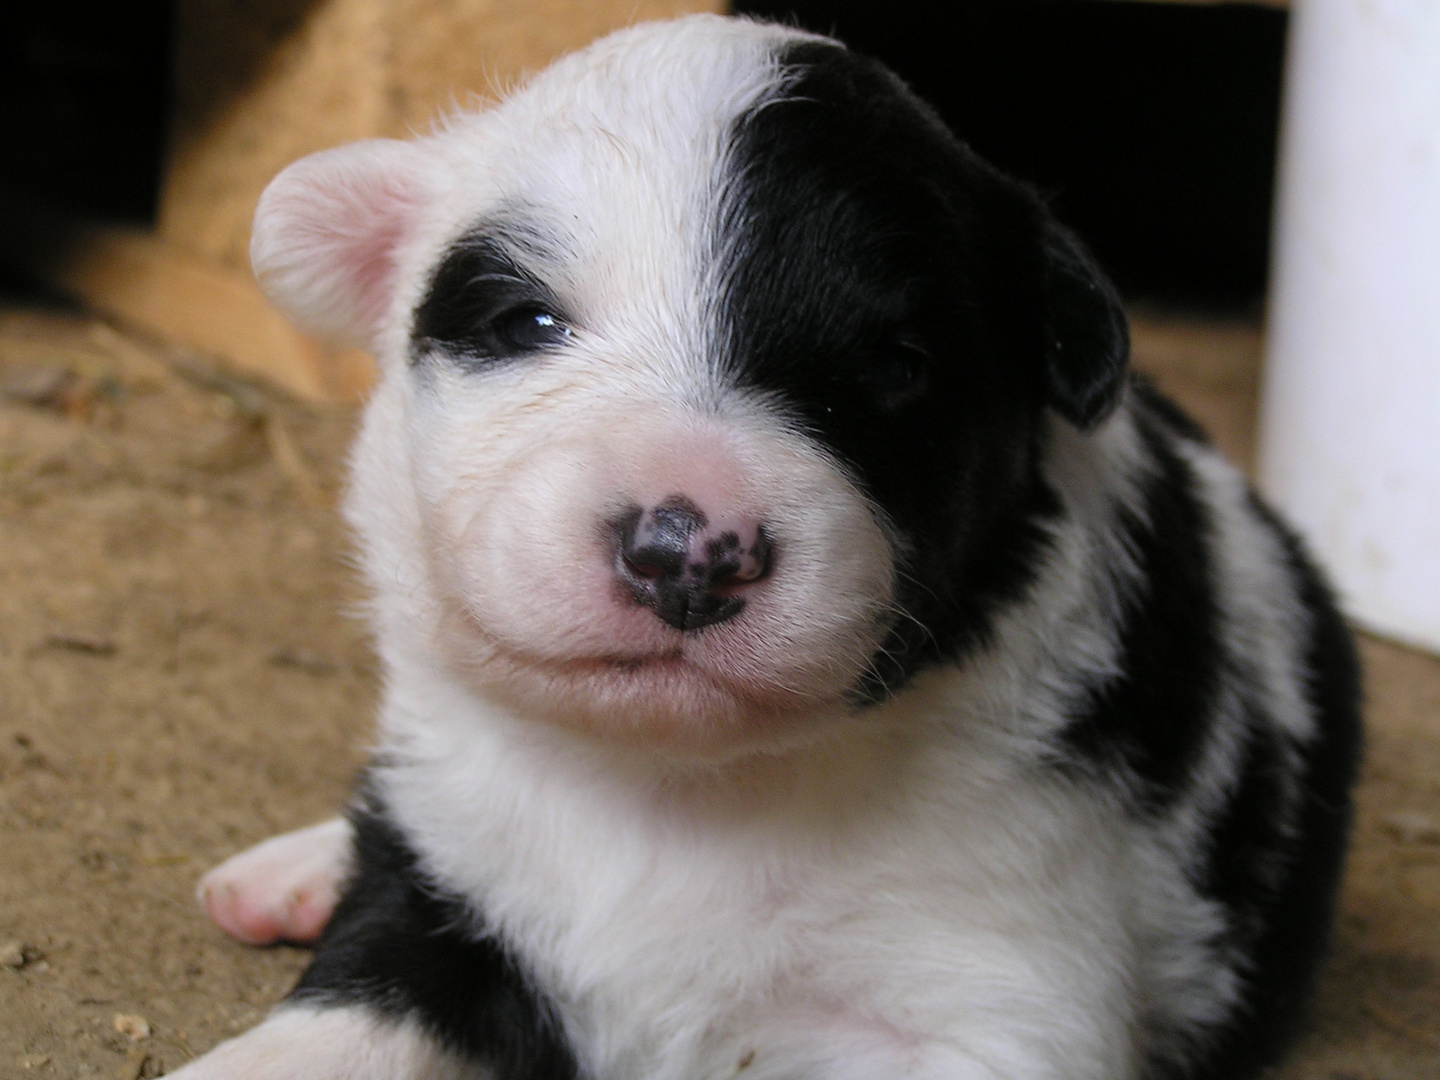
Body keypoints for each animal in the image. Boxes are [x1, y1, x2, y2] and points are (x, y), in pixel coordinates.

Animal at [171, 14, 1359, 1080]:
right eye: (525, 323)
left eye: (896, 364)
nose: (688, 552)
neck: (676, 791)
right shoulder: (434, 896)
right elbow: (336, 1016)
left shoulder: (993, 990)